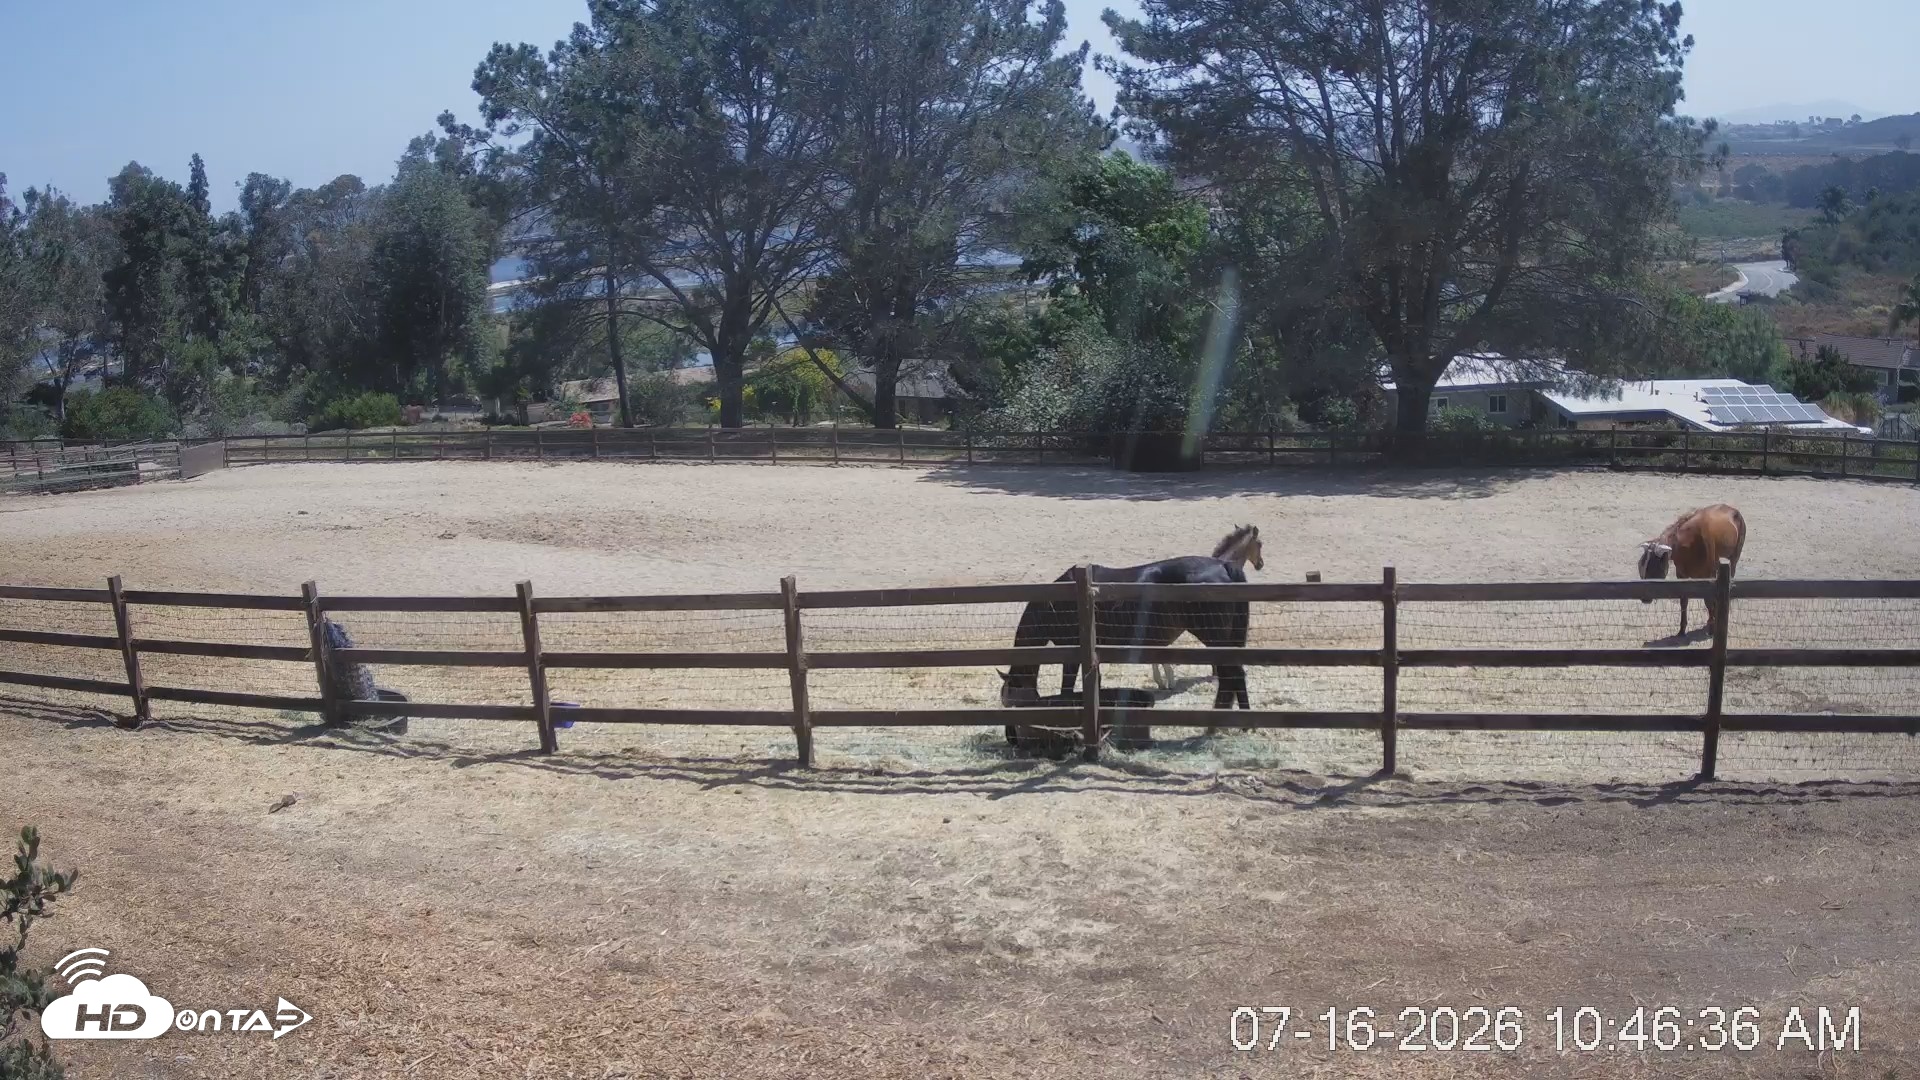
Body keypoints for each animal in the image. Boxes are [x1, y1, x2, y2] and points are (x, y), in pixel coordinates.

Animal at [1637, 504, 1747, 636]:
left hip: (1734, 556)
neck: (1687, 543)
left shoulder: (1708, 575)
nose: (1644, 599)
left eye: (1653, 568)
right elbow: (1683, 600)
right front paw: (1682, 629)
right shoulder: (1682, 575)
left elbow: (1708, 600)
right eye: (1641, 567)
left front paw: (1712, 626)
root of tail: (1733, 509)